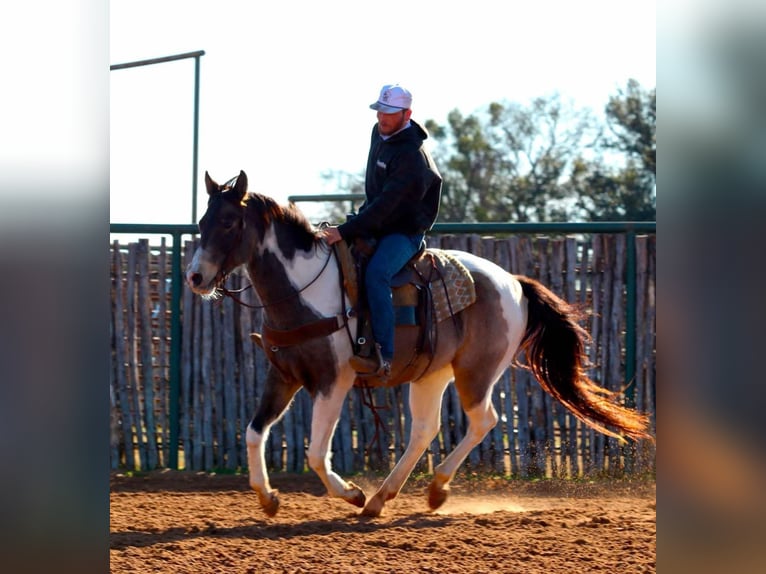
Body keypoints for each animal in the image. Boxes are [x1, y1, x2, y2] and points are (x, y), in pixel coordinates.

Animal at [186, 170, 652, 518]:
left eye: (228, 223)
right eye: (202, 223)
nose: (195, 277)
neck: (304, 288)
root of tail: (514, 283)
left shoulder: (332, 382)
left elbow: (317, 453)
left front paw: (350, 493)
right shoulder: (283, 375)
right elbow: (254, 432)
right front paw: (268, 498)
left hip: (476, 372)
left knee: (483, 420)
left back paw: (432, 490)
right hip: (432, 374)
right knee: (425, 430)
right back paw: (383, 498)